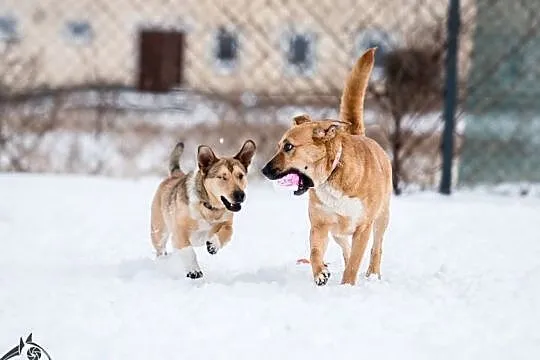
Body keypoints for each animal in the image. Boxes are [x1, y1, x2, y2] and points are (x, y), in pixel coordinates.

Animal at [149, 140, 256, 278]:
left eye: (240, 175)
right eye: (222, 177)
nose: (240, 195)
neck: (208, 208)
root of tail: (176, 174)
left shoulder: (227, 223)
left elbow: (226, 232)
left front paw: (213, 245)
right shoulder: (179, 230)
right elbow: (188, 250)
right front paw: (194, 270)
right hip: (158, 231)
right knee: (161, 248)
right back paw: (163, 261)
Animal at [260, 47, 390, 286]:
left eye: (289, 147)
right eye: (279, 146)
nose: (263, 170)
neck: (333, 175)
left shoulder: (363, 227)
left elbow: (356, 260)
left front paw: (347, 286)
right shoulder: (320, 224)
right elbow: (314, 252)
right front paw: (321, 272)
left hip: (381, 217)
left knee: (376, 247)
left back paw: (373, 274)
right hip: (338, 231)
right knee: (345, 248)